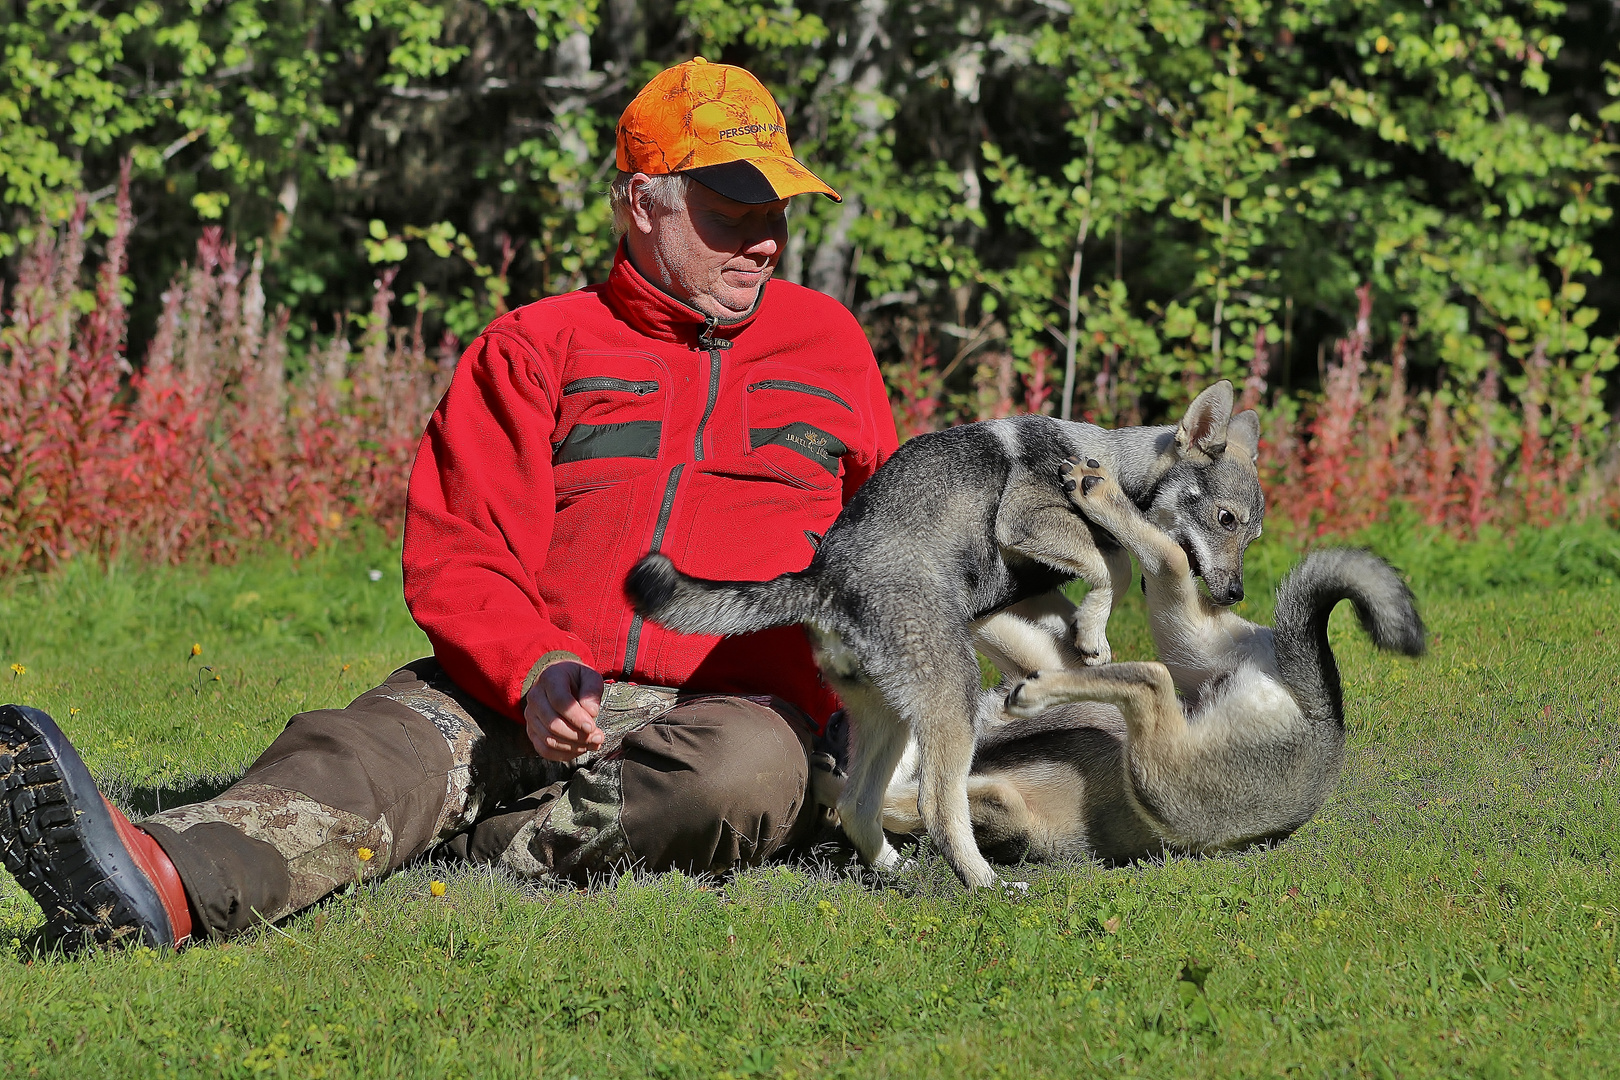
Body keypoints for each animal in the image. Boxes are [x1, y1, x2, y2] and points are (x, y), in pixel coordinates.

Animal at [618, 380, 1263, 887]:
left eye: (1252, 535)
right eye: (1226, 519)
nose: (1235, 595)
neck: (1106, 458)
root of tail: (824, 583)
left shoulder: (1031, 586)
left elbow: (1104, 569)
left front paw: (1082, 634)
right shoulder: (1027, 522)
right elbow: (1114, 563)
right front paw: (1092, 630)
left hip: (893, 718)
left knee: (857, 804)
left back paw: (894, 869)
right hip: (952, 700)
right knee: (936, 804)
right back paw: (984, 882)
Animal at [887, 456, 1432, 861]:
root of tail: (1326, 718)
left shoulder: (1014, 811)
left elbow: (927, 804)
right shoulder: (1040, 654)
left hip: (1159, 782)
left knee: (1151, 663)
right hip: (1184, 634)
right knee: (1166, 574)